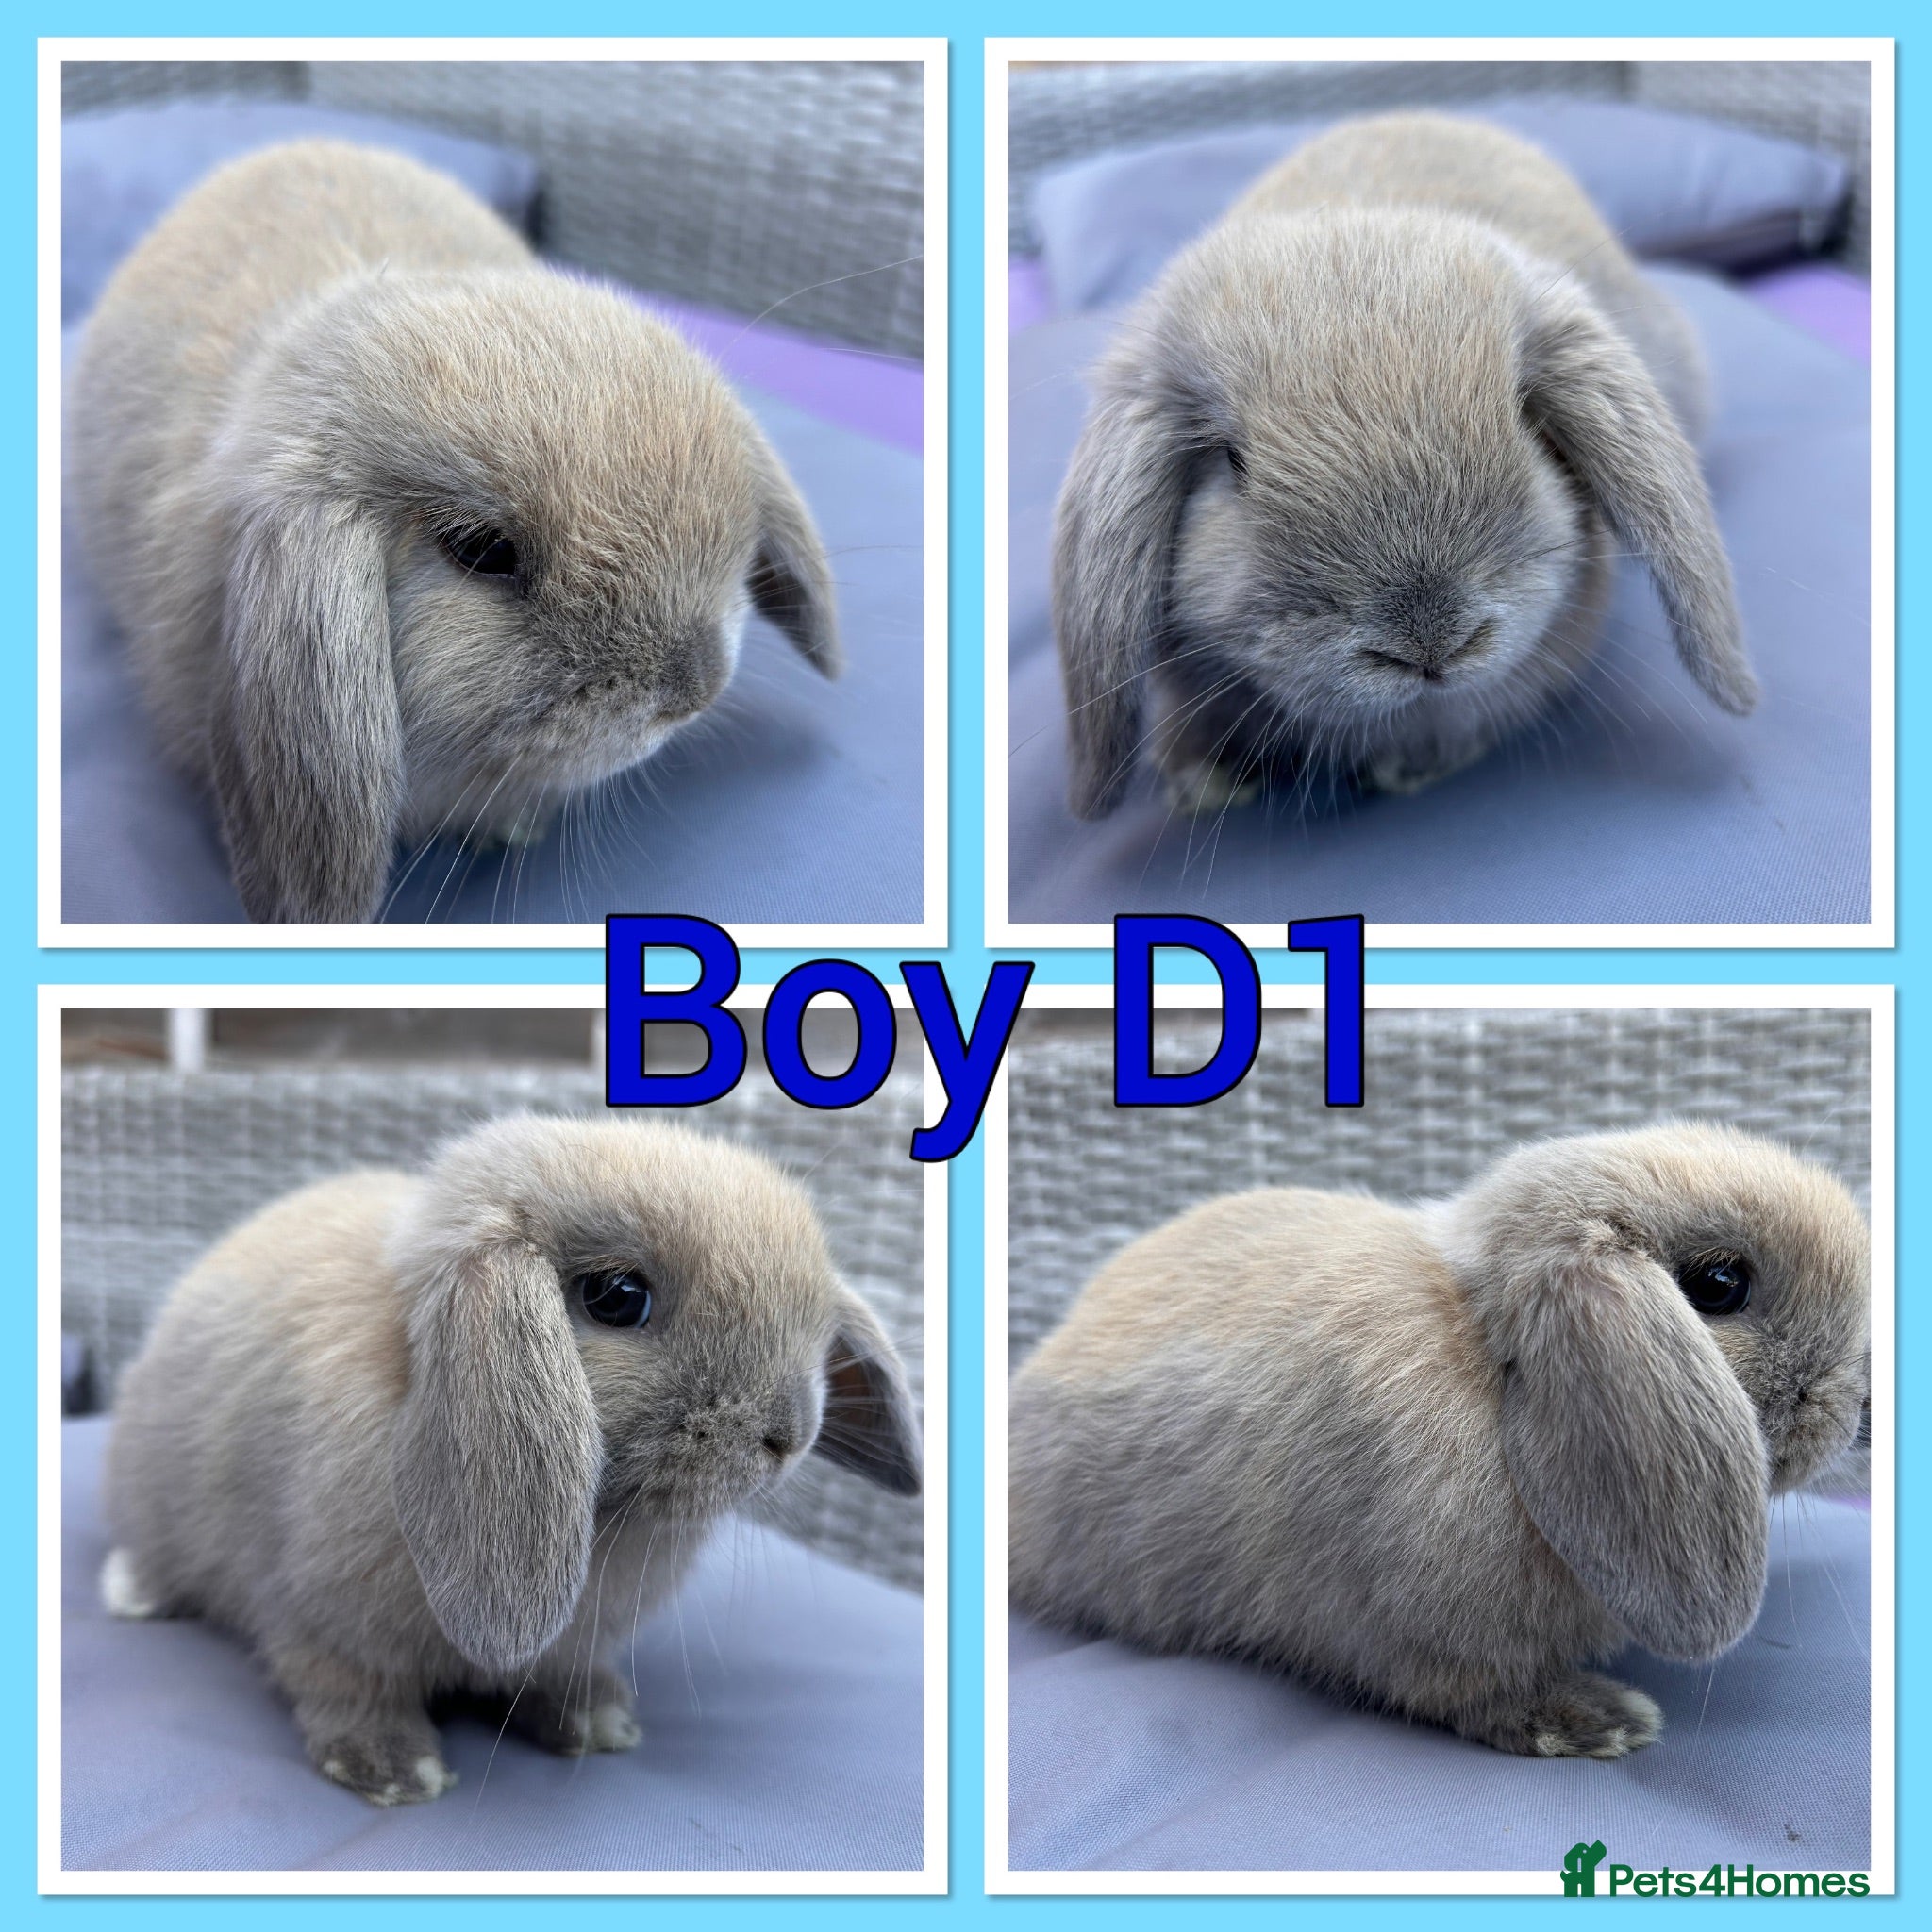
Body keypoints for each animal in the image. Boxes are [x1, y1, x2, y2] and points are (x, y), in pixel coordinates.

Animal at [99, 1115, 920, 1805]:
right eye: (617, 1296)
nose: (790, 1435)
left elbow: (556, 1679)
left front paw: (598, 1723)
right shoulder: (314, 1619)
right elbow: (346, 1689)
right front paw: (398, 1772)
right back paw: (130, 1592)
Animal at [1009, 1124, 1867, 1758]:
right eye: (1719, 1285)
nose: (1860, 1406)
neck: (1487, 1368)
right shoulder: (1425, 1643)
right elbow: (1475, 1696)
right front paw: (1604, 1722)